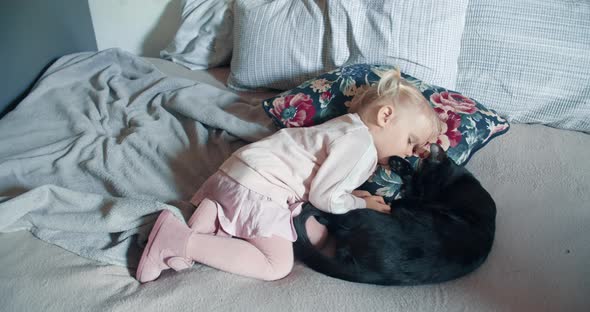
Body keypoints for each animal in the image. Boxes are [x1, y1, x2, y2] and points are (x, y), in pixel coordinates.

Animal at [294, 144, 498, 286]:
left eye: (428, 179)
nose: (422, 192)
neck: (456, 181)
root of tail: (373, 274)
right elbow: (409, 179)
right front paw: (399, 163)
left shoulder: (416, 201)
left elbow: (404, 197)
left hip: (358, 215)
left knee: (329, 214)